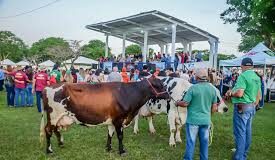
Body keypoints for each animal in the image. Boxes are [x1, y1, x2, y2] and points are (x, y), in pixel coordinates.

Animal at [39, 76, 169, 155]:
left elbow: (110, 134)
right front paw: (122, 151)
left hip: (58, 117)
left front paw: (109, 148)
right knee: (48, 130)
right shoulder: (119, 119)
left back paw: (61, 144)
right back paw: (49, 150)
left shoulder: (112, 120)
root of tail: (47, 87)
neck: (128, 93)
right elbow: (120, 136)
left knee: (56, 130)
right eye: (160, 85)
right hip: (54, 116)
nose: (168, 95)